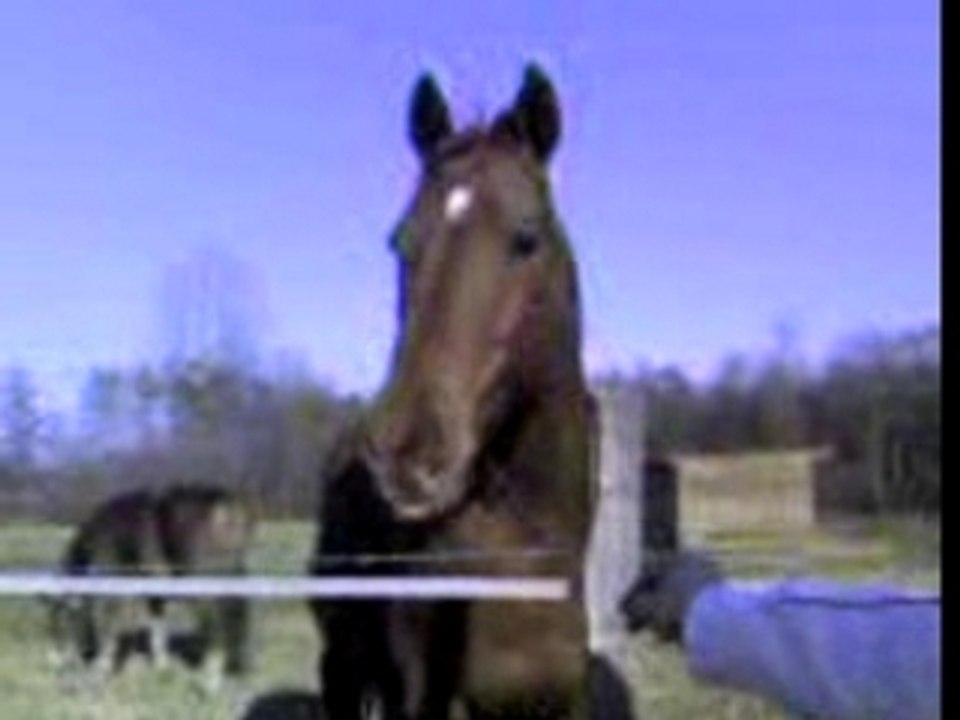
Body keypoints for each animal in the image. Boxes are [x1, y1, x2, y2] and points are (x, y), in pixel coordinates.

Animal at [48, 483, 255, 691]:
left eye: (64, 616)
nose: (57, 660)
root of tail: (224, 504)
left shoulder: (115, 581)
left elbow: (110, 622)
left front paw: (101, 667)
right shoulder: (155, 591)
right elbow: (157, 626)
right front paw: (161, 667)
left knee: (215, 628)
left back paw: (209, 681)